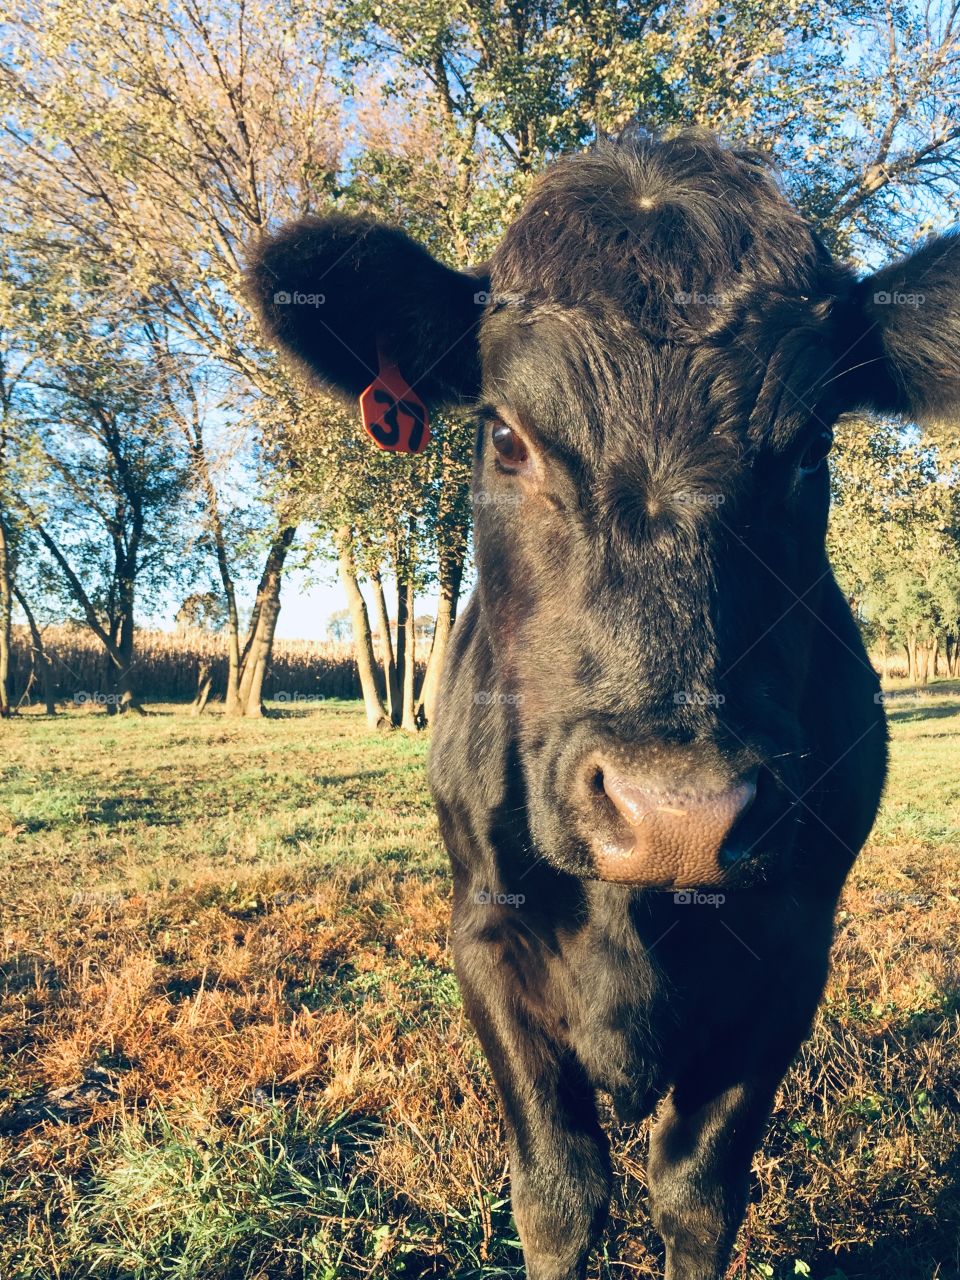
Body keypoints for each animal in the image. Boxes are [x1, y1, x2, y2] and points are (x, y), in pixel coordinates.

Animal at [249, 132, 960, 1280]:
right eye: (504, 435)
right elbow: (559, 1192)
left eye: (812, 445)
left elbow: (698, 1191)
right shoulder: (485, 929)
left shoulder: (795, 945)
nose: (677, 813)